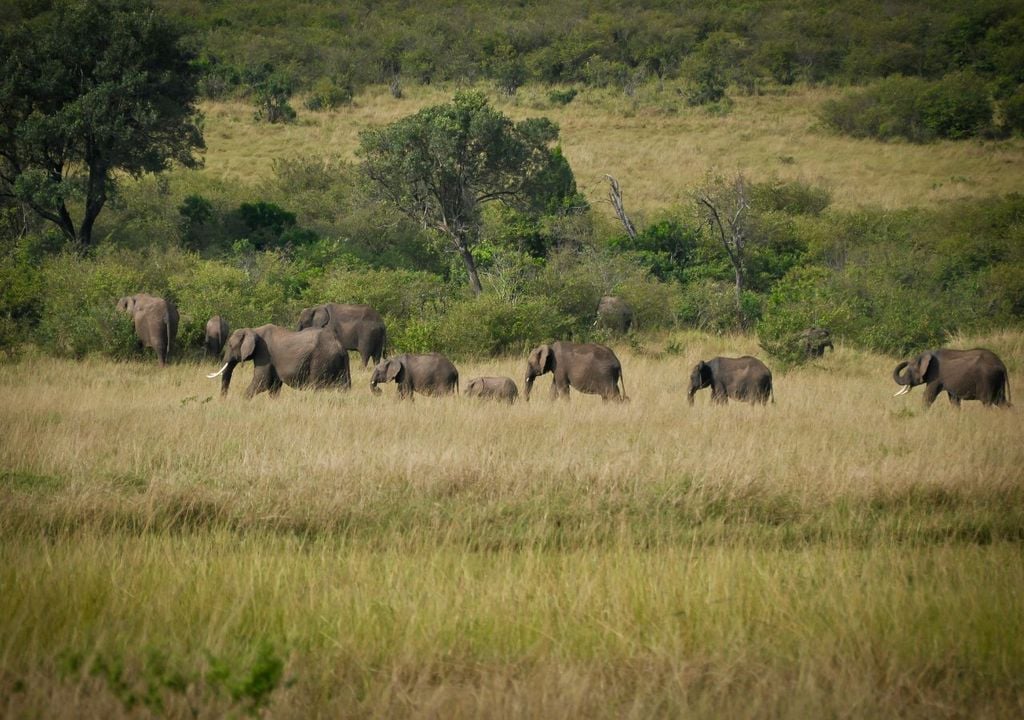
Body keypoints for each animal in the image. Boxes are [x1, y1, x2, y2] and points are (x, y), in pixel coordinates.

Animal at [207, 324, 351, 399]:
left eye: (230, 345)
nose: (223, 400)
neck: (254, 330)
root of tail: (339, 345)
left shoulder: (264, 354)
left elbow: (261, 382)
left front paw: (242, 400)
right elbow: (274, 386)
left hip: (320, 359)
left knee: (316, 386)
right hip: (342, 362)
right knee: (344, 386)